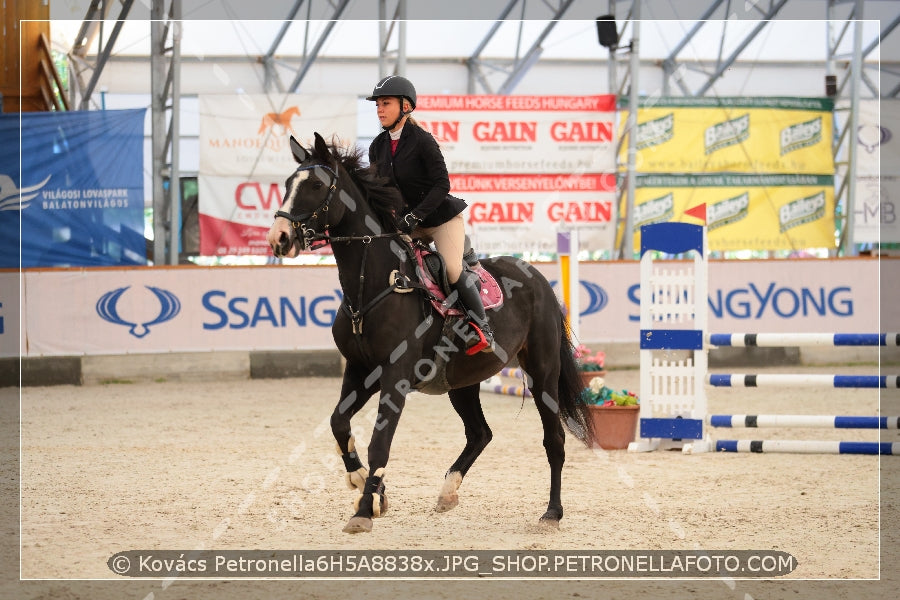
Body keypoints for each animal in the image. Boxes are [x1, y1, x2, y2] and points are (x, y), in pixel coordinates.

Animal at [264, 134, 596, 532]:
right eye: (287, 184)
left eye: (315, 186)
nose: (279, 238)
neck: (374, 283)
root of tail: (538, 279)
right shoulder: (362, 370)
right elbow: (339, 422)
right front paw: (364, 484)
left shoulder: (395, 375)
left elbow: (380, 442)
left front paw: (364, 510)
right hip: (463, 380)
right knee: (480, 433)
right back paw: (447, 492)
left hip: (542, 372)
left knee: (554, 439)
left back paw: (552, 513)